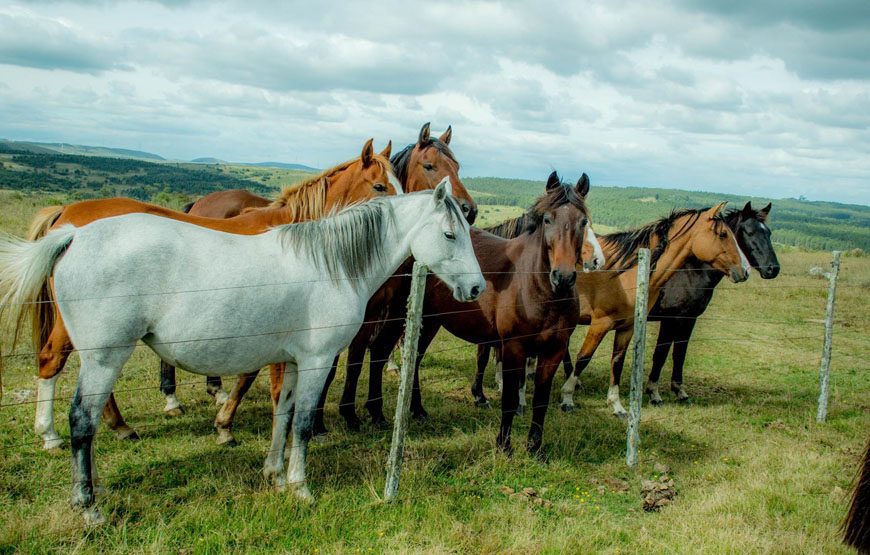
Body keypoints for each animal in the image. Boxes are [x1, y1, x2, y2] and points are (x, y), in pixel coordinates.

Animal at [0, 180, 484, 528]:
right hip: (103, 359)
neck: (331, 265)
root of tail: (72, 235)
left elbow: (283, 416)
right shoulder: (316, 361)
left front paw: (274, 475)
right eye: (449, 234)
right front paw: (301, 487)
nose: (477, 288)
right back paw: (89, 507)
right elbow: (303, 424)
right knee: (81, 422)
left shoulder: (292, 361)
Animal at [23, 140, 398, 452]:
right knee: (52, 360)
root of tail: (66, 216)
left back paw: (118, 426)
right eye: (379, 186)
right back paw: (52, 434)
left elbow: (247, 377)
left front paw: (225, 425)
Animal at [560, 204, 756, 416]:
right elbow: (583, 358)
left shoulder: (627, 327)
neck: (627, 272)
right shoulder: (600, 323)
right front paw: (567, 398)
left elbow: (617, 361)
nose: (745, 271)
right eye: (722, 234)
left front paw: (616, 405)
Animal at [648, 202, 784, 406]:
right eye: (749, 232)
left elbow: (680, 353)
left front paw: (680, 392)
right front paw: (654, 393)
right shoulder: (670, 320)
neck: (687, 272)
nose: (772, 269)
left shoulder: (689, 319)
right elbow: (661, 354)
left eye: (768, 233)